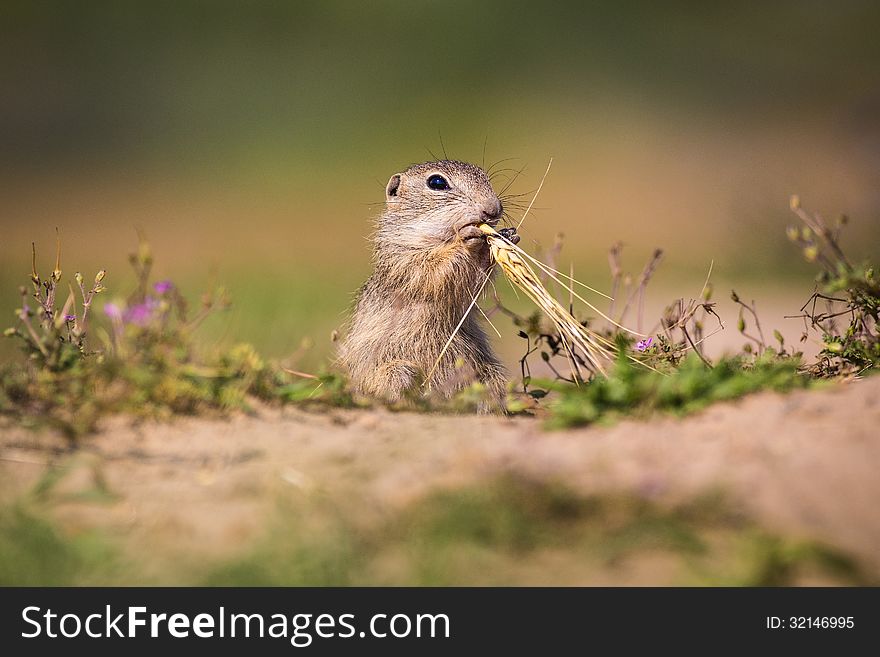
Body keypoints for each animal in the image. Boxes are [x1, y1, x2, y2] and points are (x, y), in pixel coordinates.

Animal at [336, 159, 516, 410]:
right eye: (437, 182)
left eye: (485, 177)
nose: (493, 209)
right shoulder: (403, 259)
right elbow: (432, 271)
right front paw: (467, 237)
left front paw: (508, 236)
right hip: (396, 372)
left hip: (489, 375)